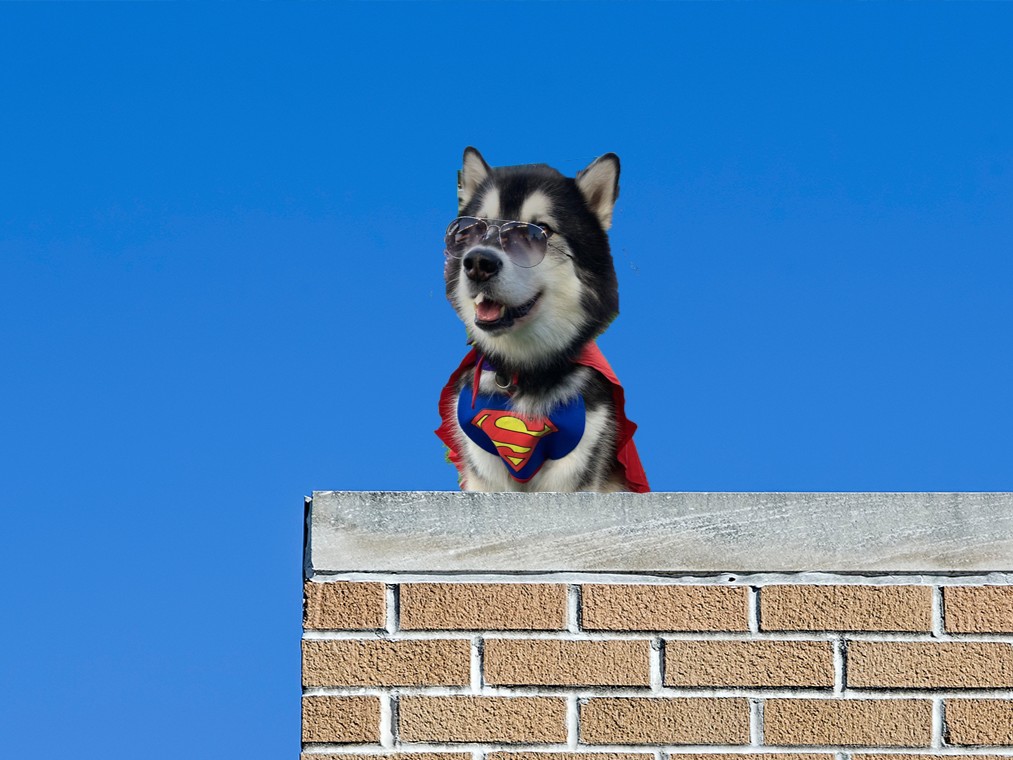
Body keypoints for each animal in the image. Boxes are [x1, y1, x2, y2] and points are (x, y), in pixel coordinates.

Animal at [435, 147, 648, 494]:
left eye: (539, 231)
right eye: (477, 228)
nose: (478, 263)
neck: (522, 372)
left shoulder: (577, 465)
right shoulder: (483, 469)